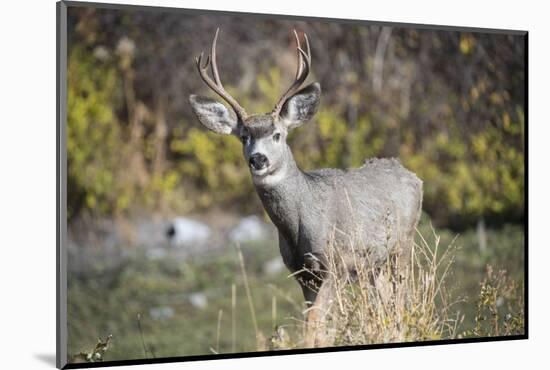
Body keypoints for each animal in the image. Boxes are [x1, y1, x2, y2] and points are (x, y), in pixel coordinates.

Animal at [188, 28, 424, 346]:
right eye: (244, 136)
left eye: (277, 134)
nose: (258, 159)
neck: (302, 219)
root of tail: (412, 175)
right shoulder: (302, 274)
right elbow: (313, 325)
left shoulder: (335, 265)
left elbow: (315, 326)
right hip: (375, 265)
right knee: (387, 303)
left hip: (403, 247)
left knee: (400, 301)